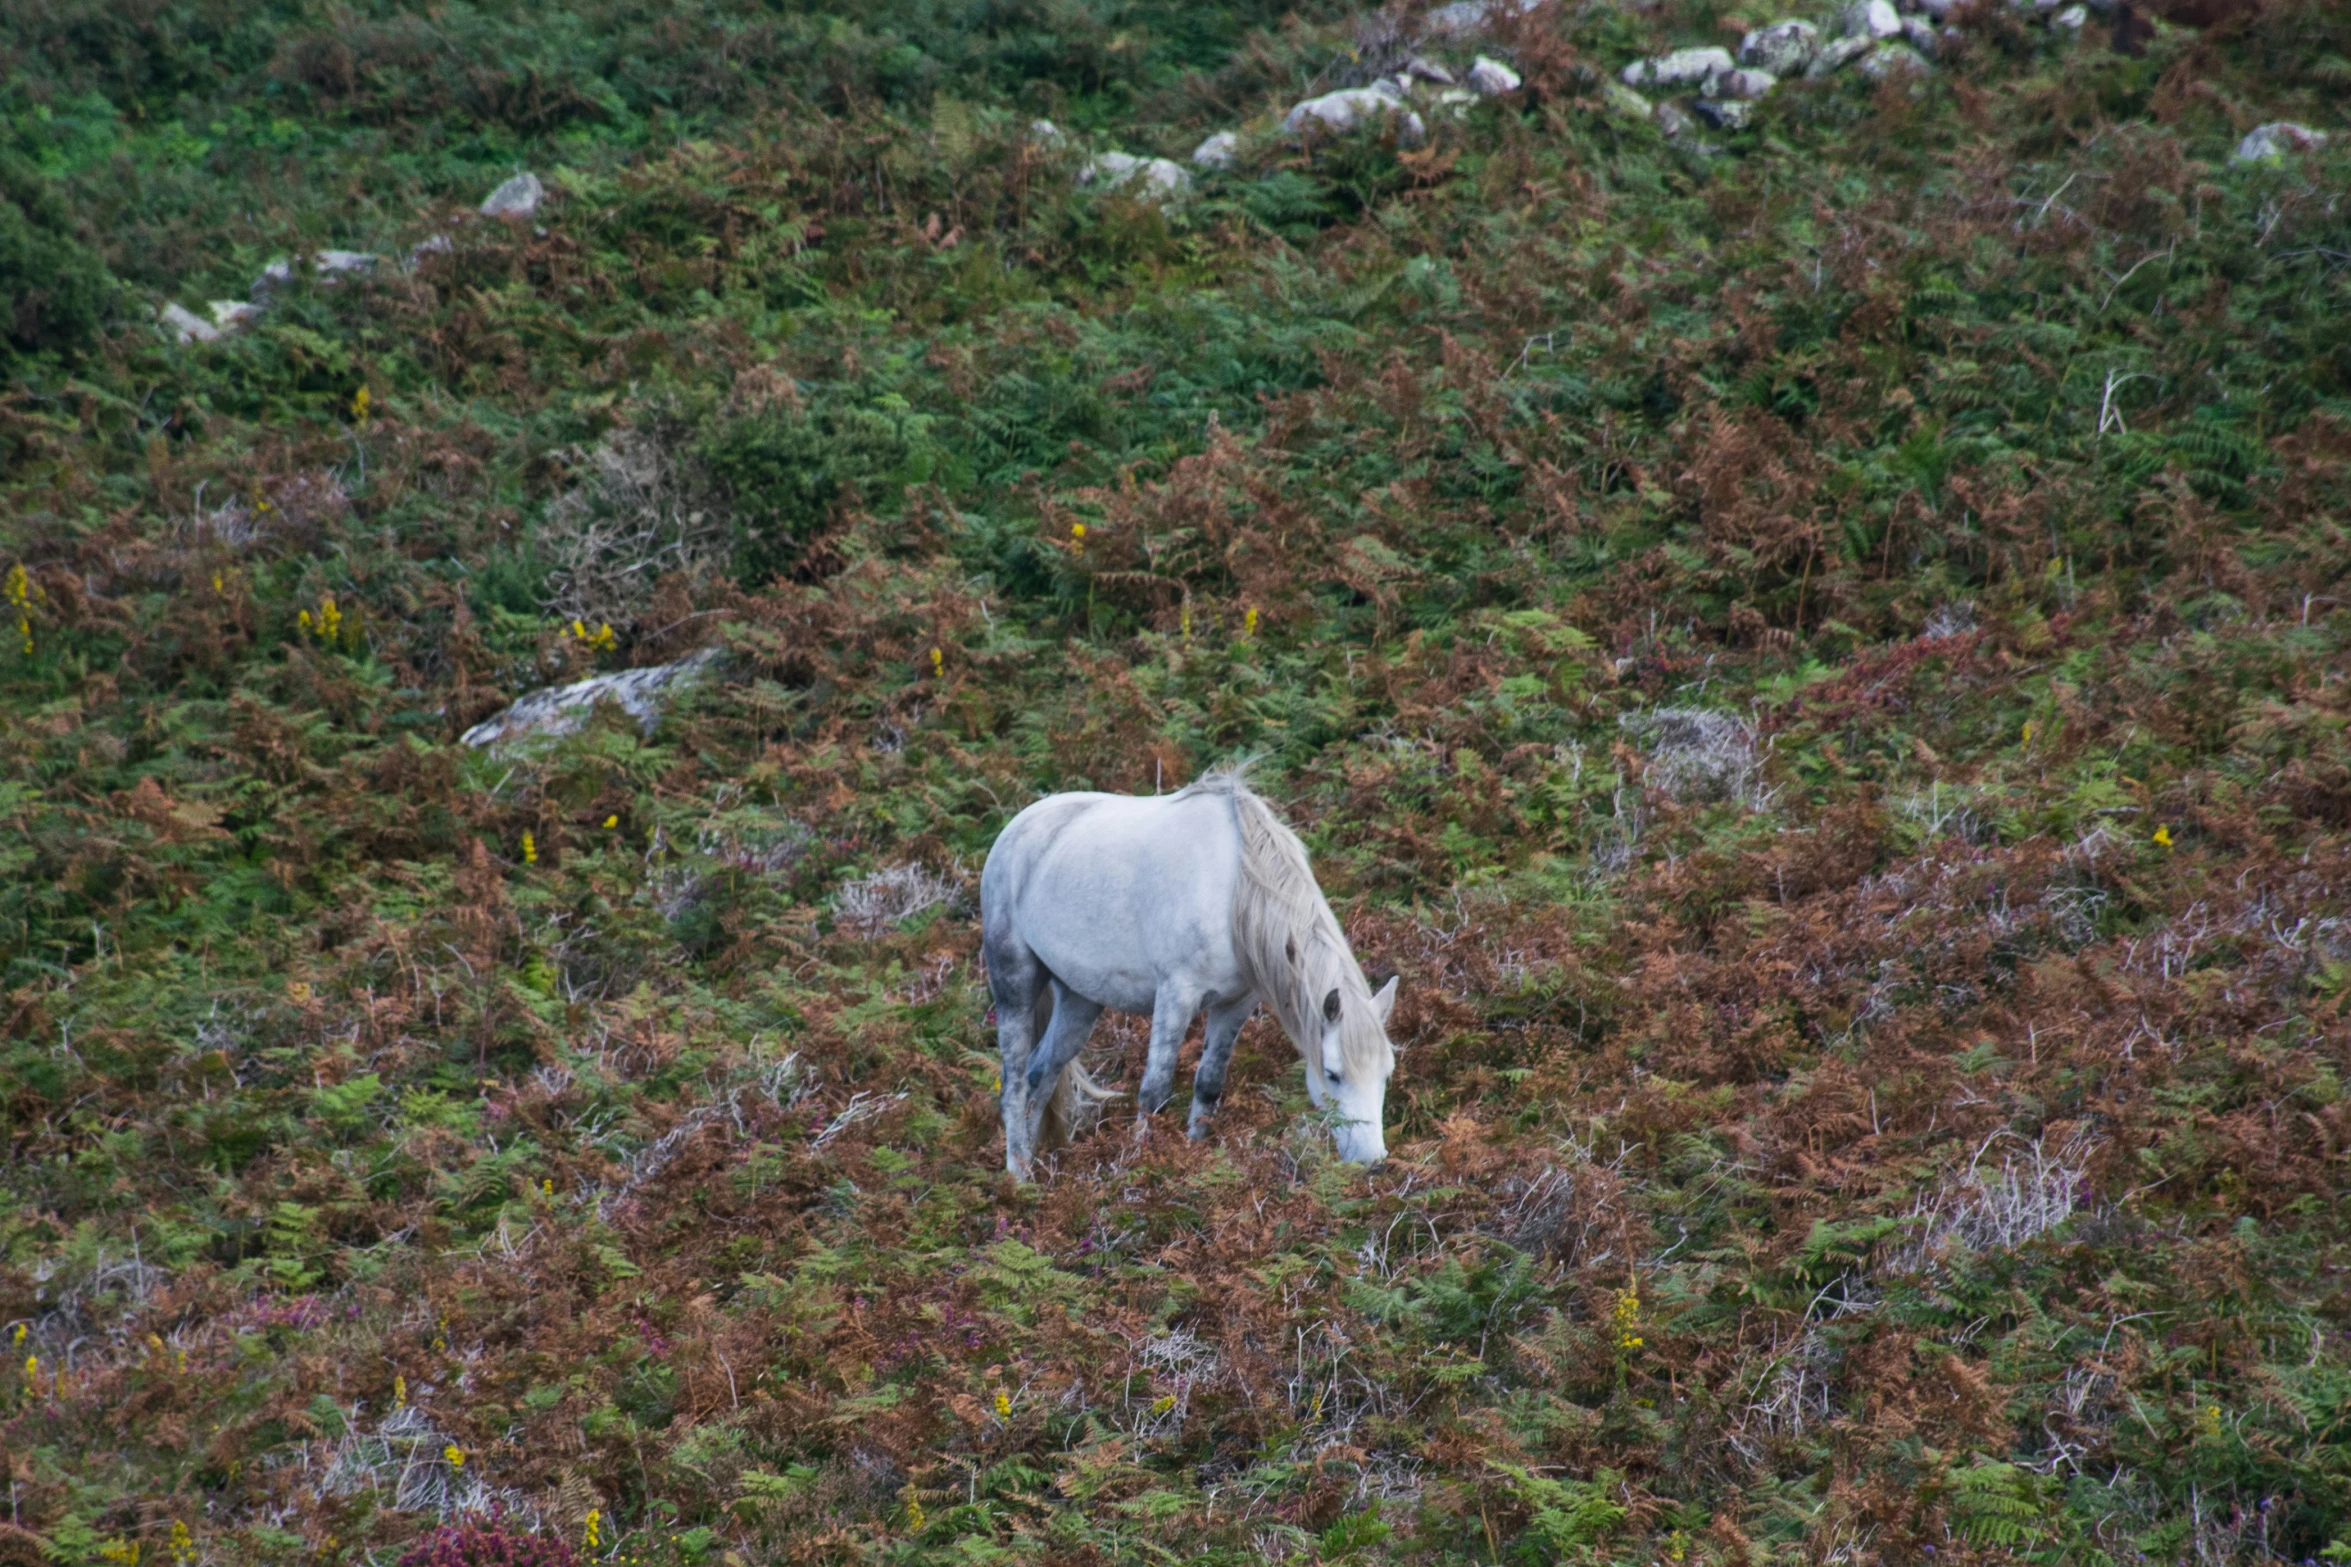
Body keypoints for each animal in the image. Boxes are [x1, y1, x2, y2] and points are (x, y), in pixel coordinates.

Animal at [978, 770, 1391, 1174]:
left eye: (1387, 1073)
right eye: (1333, 1074)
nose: (1372, 1161)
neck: (1235, 893)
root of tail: (1016, 828)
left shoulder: (1236, 1004)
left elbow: (1208, 1084)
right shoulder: (1176, 996)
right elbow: (1154, 1092)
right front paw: (1139, 1168)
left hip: (1079, 1000)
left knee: (1041, 1073)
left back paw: (1033, 1169)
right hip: (1013, 982)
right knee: (1014, 1083)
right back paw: (1018, 1178)